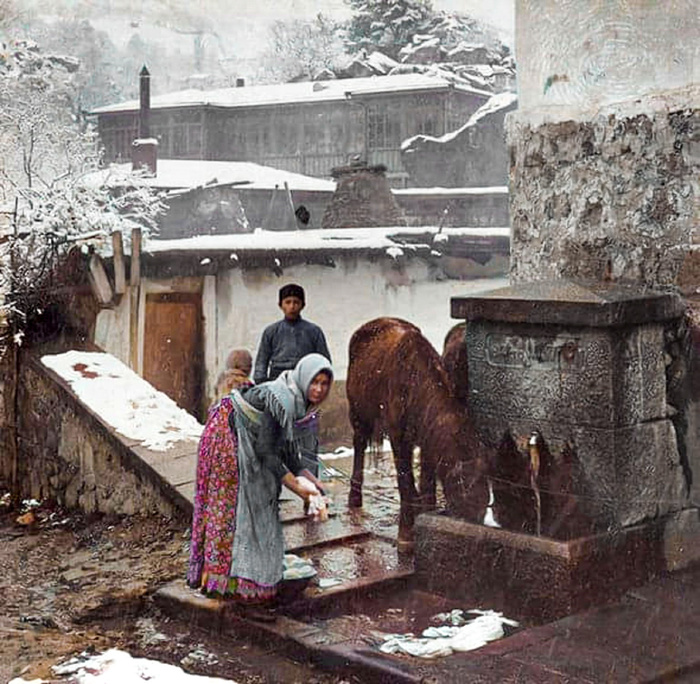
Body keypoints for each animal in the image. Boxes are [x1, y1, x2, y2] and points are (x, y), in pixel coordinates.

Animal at [346, 316, 490, 544]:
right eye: (461, 486)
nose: (473, 526)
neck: (414, 384)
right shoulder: (398, 437)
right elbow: (405, 480)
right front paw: (406, 534)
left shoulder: (427, 439)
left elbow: (427, 481)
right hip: (358, 415)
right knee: (359, 446)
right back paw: (354, 498)